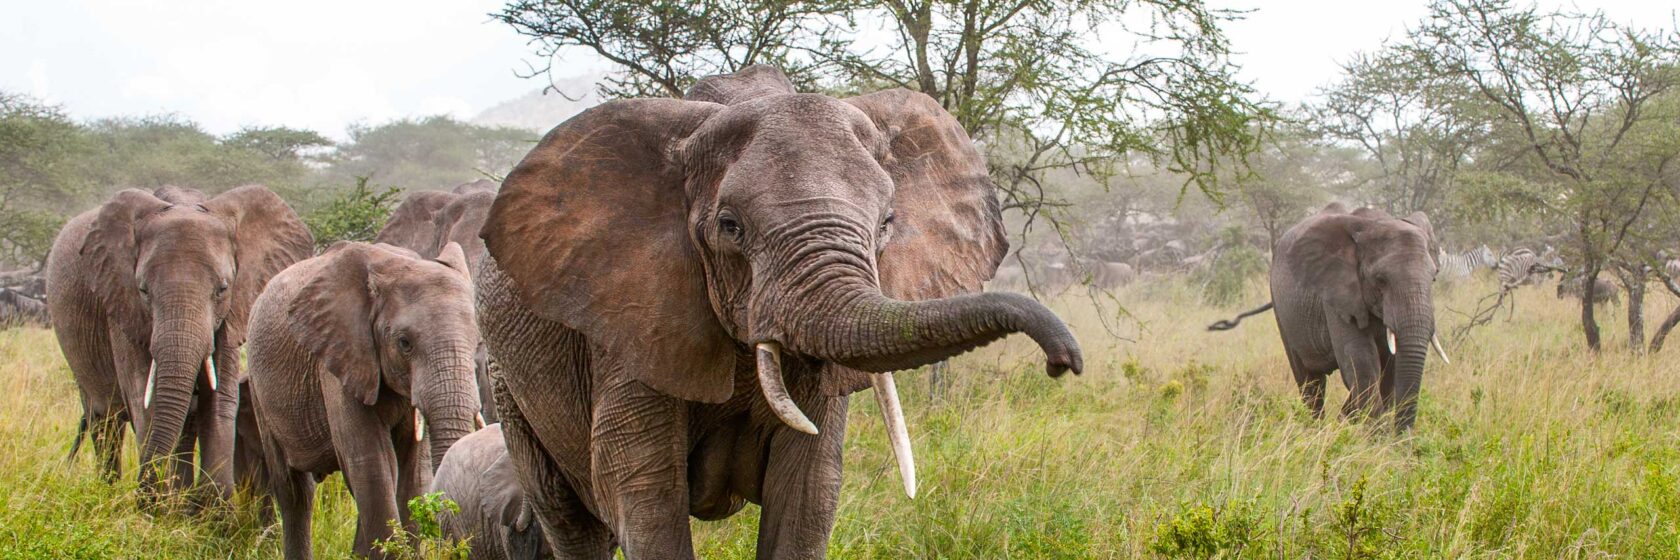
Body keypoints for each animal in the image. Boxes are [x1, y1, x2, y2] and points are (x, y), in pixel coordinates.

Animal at [246, 240, 487, 558]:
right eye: (404, 343)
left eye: (477, 341)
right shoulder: (339, 358)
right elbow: (372, 461)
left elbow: (413, 469)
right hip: (257, 386)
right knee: (294, 491)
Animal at [473, 63, 1081, 554]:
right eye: (729, 226)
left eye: (886, 222)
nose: (1064, 361)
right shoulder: (633, 318)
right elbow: (644, 499)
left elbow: (807, 496)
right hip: (506, 381)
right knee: (569, 518)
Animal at [1209, 202, 1458, 428]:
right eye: (1380, 280)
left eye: (1434, 278)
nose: (1403, 440)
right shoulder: (1336, 294)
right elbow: (1361, 361)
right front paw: (1376, 440)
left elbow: (1389, 367)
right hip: (1281, 309)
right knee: (1310, 383)